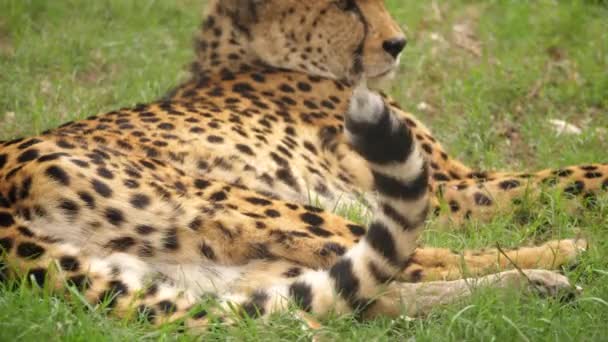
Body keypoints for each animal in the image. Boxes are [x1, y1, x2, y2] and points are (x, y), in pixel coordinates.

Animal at [0, 0, 600, 328]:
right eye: (343, 4)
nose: (398, 43)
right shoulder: (456, 187)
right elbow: (576, 175)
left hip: (199, 265)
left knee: (339, 300)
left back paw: (536, 286)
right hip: (244, 206)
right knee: (416, 259)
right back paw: (564, 256)